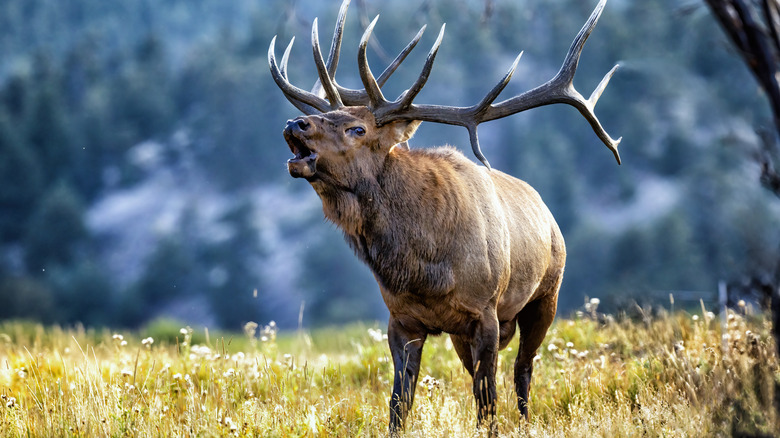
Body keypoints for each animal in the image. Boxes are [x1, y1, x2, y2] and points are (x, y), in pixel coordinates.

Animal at [268, 0, 621, 434]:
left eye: (357, 128)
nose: (294, 122)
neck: (424, 268)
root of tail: (549, 215)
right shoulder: (401, 319)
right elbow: (399, 404)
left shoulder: (486, 312)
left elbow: (487, 401)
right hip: (461, 334)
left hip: (545, 296)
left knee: (522, 369)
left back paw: (526, 420)